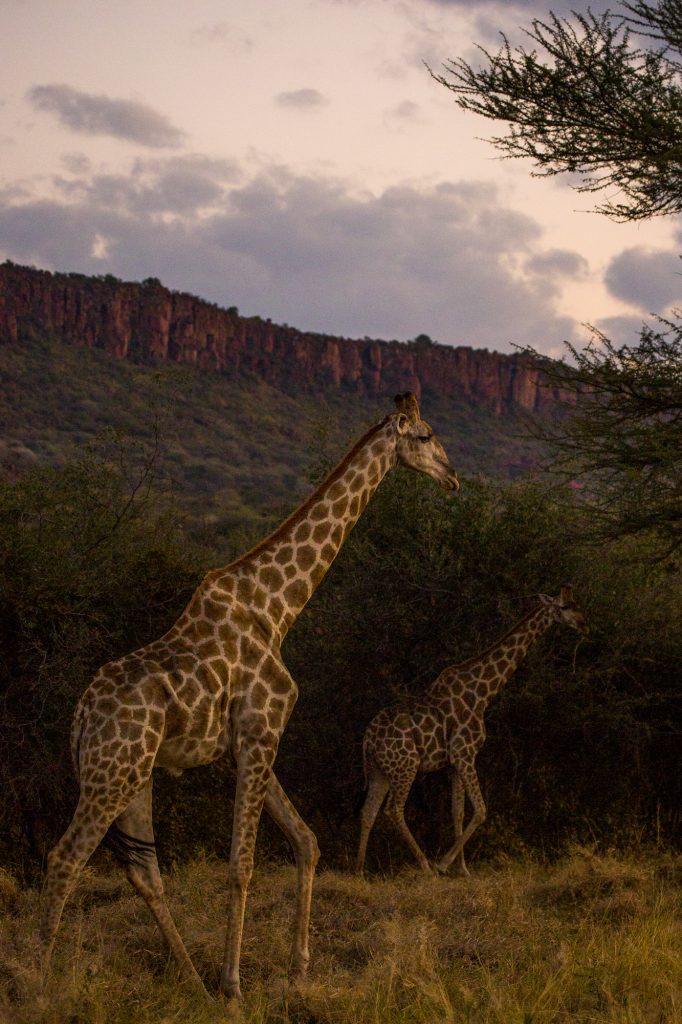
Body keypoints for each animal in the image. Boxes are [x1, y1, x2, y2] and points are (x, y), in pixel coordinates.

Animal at [41, 391, 456, 999]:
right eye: (425, 436)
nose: (452, 477)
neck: (275, 608)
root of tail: (80, 719)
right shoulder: (261, 733)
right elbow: (242, 864)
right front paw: (235, 983)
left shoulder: (245, 745)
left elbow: (306, 841)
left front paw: (299, 965)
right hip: (109, 774)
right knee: (65, 859)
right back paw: (37, 981)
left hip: (132, 776)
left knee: (145, 873)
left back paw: (190, 980)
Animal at [356, 589, 585, 876]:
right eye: (564, 607)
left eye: (578, 604)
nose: (583, 624)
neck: (482, 694)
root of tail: (368, 740)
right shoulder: (465, 754)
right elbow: (481, 810)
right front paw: (443, 863)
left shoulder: (455, 763)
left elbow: (458, 812)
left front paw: (462, 869)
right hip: (406, 767)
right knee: (394, 810)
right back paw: (425, 866)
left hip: (380, 771)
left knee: (368, 811)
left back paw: (358, 870)